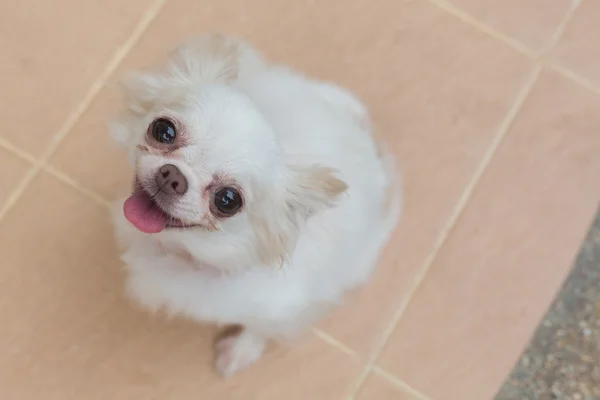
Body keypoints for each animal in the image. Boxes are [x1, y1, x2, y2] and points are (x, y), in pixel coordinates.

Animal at [110, 35, 400, 378]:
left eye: (227, 200)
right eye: (163, 130)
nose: (174, 176)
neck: (186, 251)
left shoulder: (286, 307)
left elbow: (260, 327)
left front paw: (239, 351)